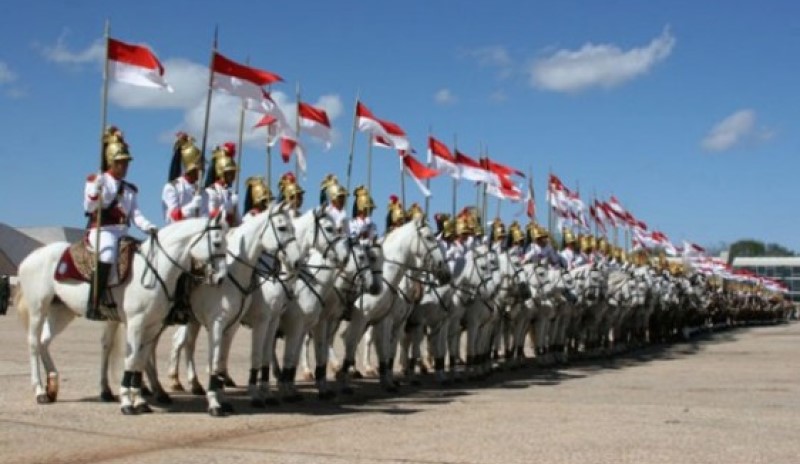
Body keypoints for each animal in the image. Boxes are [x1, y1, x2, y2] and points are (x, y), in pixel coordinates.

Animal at [14, 215, 228, 414]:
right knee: (33, 343)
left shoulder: (152, 326)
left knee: (44, 341)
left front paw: (140, 401)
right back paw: (40, 391)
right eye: (217, 242)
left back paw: (52, 385)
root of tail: (31, 257)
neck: (155, 270)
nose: (221, 278)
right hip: (38, 309)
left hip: (62, 312)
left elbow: (140, 361)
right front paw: (127, 401)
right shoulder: (135, 323)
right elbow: (132, 360)